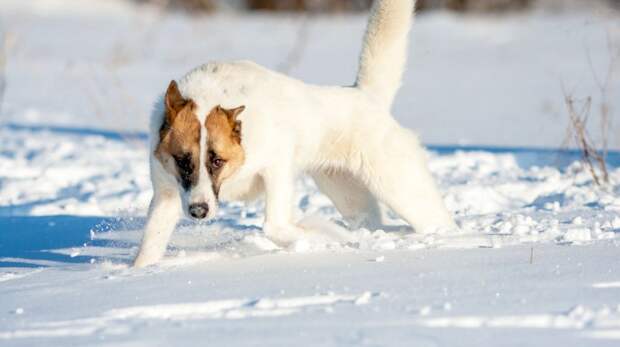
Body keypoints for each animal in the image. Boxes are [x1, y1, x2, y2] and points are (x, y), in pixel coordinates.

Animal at [134, 0, 456, 268]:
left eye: (216, 161)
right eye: (182, 160)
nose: (199, 212)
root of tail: (365, 95)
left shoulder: (277, 166)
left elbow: (274, 226)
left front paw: (320, 234)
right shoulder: (166, 193)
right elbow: (150, 243)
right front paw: (140, 271)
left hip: (399, 187)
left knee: (439, 220)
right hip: (349, 194)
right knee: (376, 223)